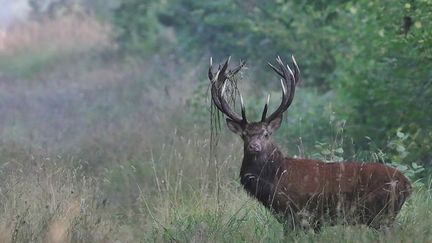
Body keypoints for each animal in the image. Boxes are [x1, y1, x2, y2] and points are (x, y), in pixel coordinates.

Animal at [209, 55, 412, 232]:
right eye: (244, 135)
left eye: (266, 134)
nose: (254, 147)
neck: (275, 179)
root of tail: (407, 185)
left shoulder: (297, 214)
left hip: (381, 216)